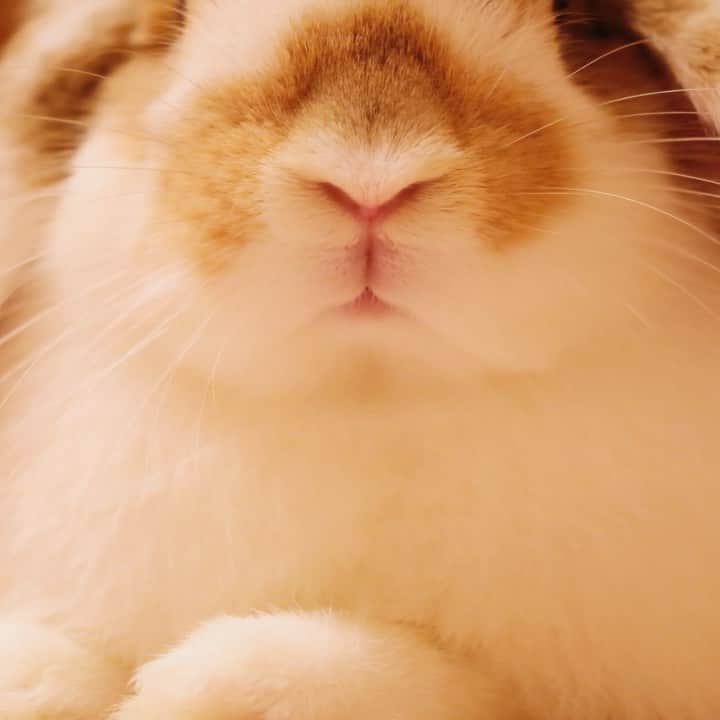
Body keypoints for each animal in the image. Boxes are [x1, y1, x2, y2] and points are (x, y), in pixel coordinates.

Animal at [0, 0, 719, 717]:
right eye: (167, 25)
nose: (369, 179)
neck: (369, 394)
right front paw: (40, 681)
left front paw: (198, 692)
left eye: (583, 24)